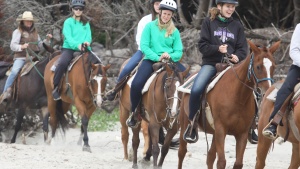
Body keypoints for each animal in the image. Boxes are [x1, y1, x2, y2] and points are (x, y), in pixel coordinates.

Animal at [177, 40, 280, 169]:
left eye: (274, 67)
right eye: (258, 66)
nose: (267, 91)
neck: (238, 98)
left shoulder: (242, 134)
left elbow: (238, 163)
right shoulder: (221, 130)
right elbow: (221, 162)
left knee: (210, 157)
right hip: (184, 123)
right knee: (182, 152)